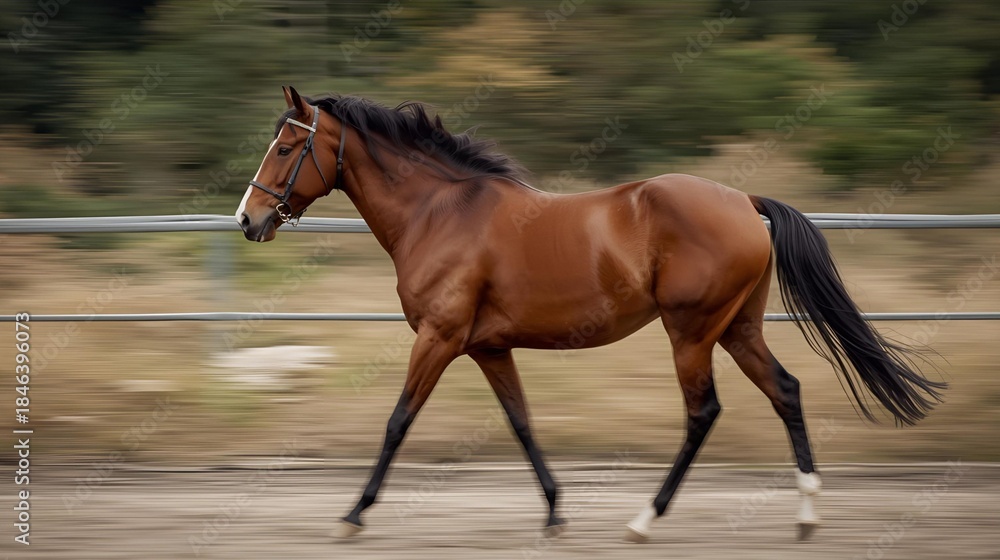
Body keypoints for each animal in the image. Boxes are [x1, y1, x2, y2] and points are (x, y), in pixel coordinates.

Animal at [235, 86, 946, 543]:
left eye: (284, 148)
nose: (248, 219)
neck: (439, 212)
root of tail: (745, 201)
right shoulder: (488, 347)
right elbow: (521, 424)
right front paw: (555, 512)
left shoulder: (439, 337)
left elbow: (397, 421)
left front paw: (354, 514)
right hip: (737, 329)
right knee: (787, 391)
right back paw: (805, 516)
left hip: (691, 332)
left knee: (703, 412)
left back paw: (646, 519)